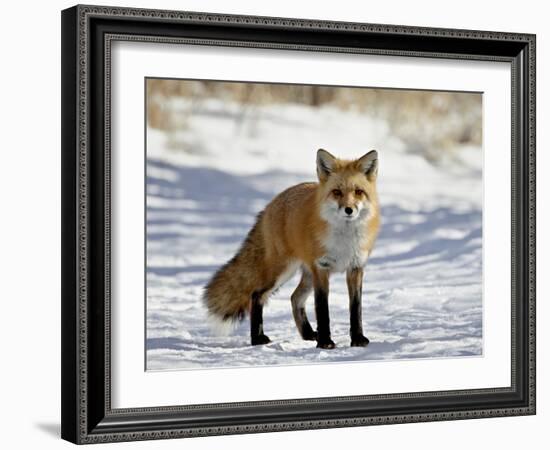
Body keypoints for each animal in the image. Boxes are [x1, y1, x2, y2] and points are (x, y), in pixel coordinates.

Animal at [205, 149, 382, 350]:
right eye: (337, 192)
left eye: (358, 192)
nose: (349, 210)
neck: (344, 240)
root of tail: (272, 203)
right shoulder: (322, 268)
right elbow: (323, 309)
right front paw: (325, 342)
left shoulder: (355, 267)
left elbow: (356, 309)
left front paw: (358, 339)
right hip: (283, 271)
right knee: (256, 295)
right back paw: (257, 338)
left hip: (306, 275)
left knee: (294, 298)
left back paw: (307, 334)